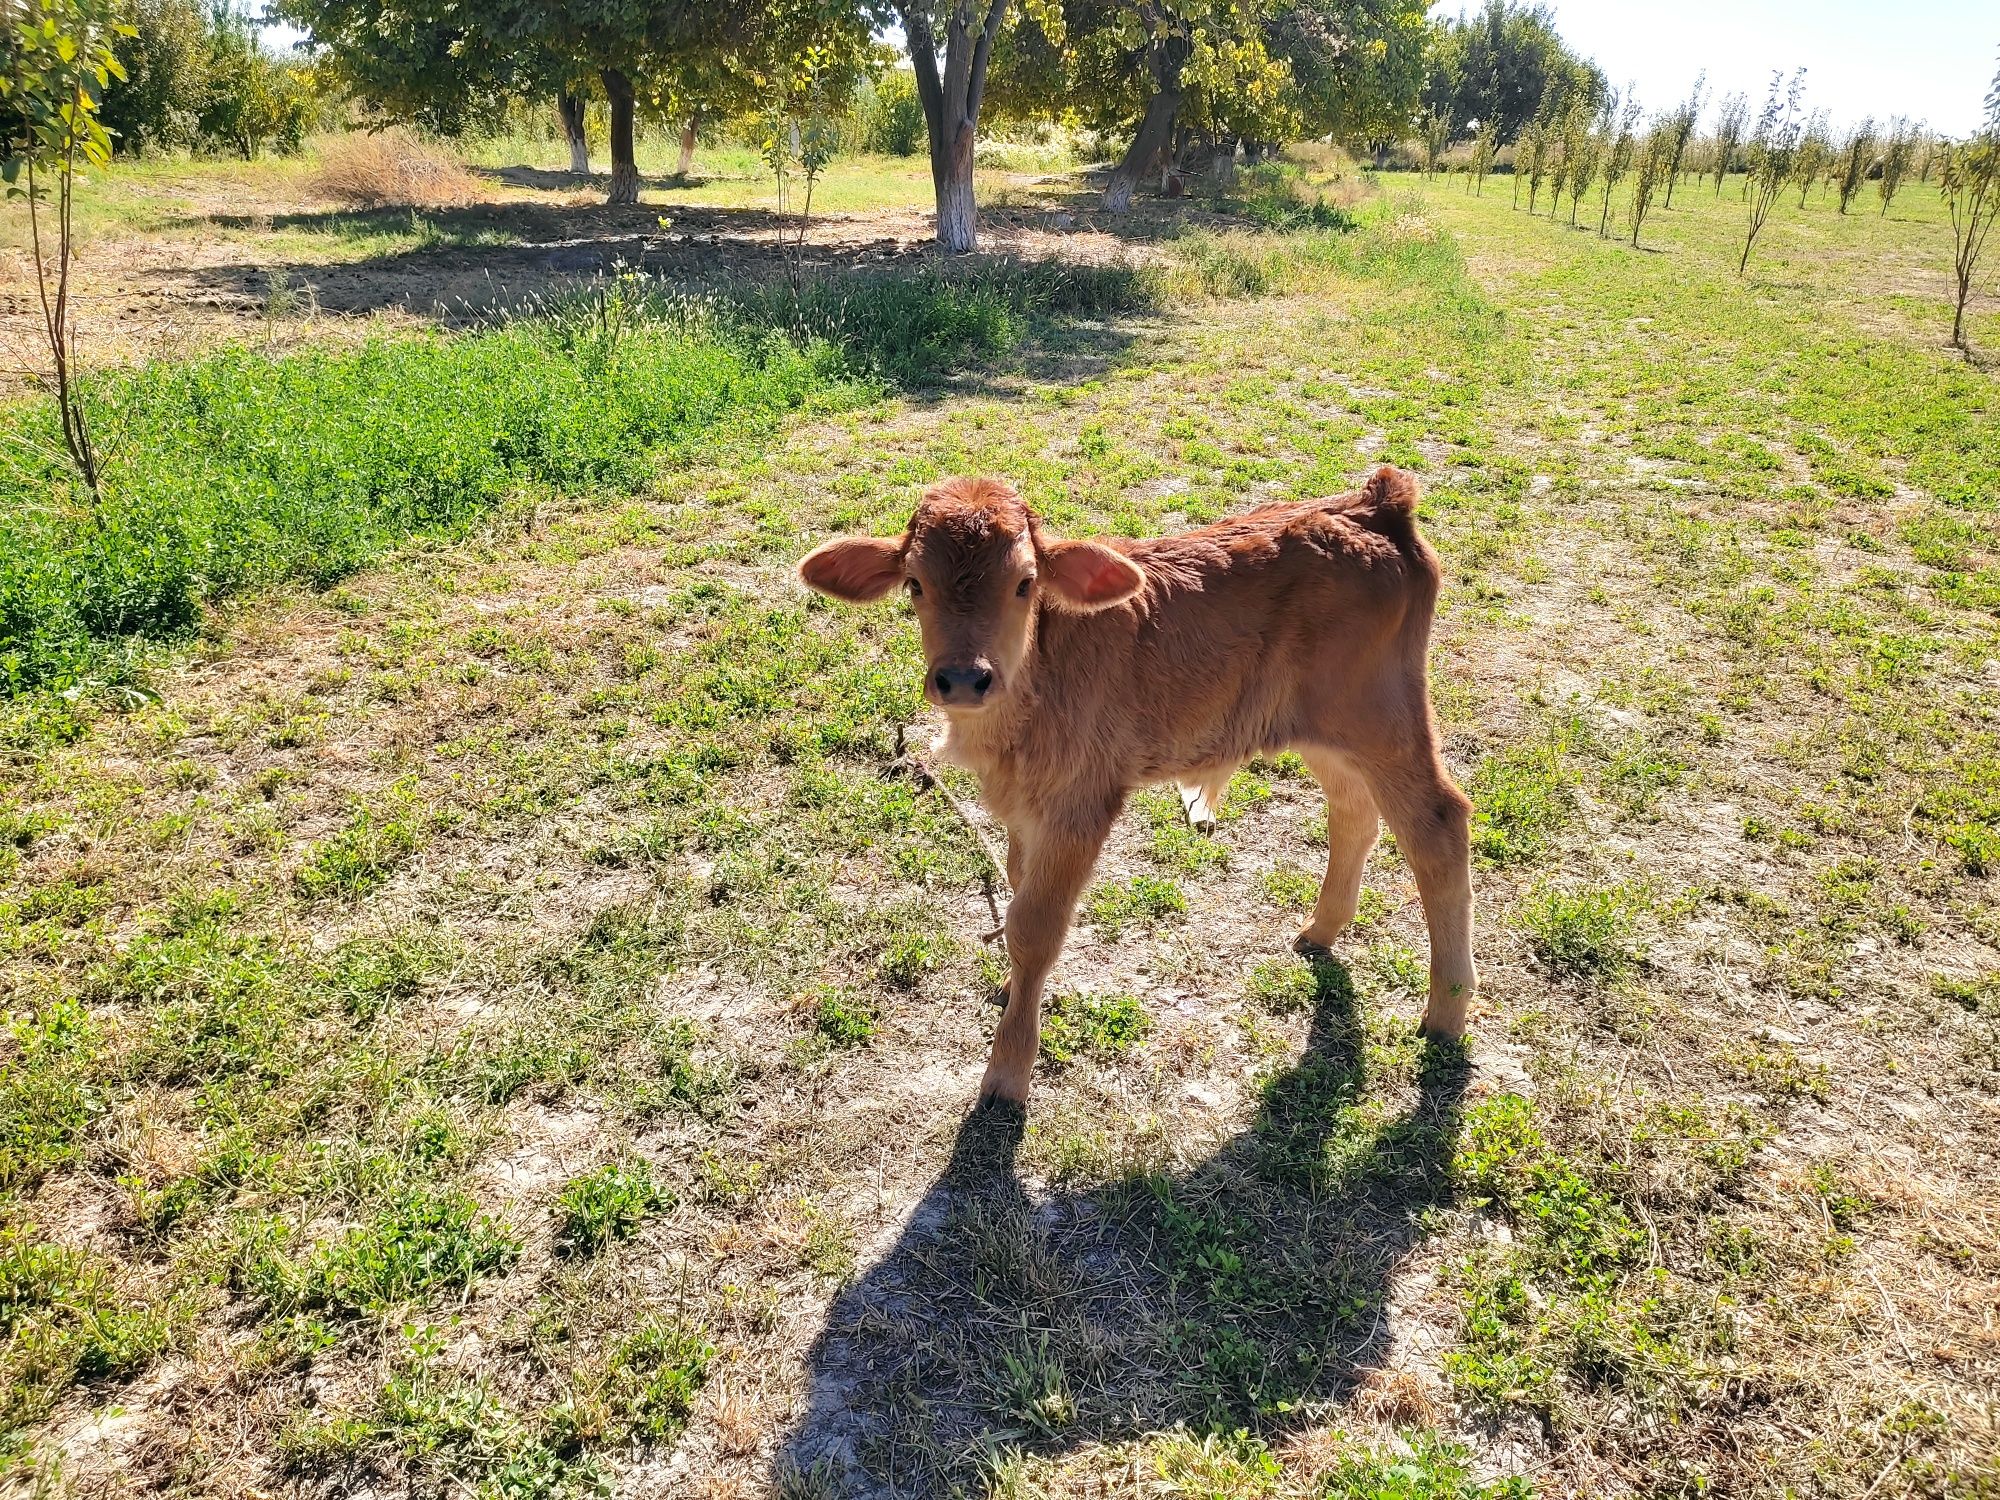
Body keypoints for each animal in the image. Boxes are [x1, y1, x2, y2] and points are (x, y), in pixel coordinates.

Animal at [796, 470, 1472, 1120]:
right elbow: (1016, 890)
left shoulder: (1082, 800)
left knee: (1439, 823)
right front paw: (1019, 993)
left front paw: (1007, 1074)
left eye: (1024, 583)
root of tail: (1374, 503)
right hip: (1323, 731)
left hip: (1382, 717)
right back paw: (1321, 931)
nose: (964, 678)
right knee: (1354, 812)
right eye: (915, 584)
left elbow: (1035, 924)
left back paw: (1446, 1014)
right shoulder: (1023, 809)